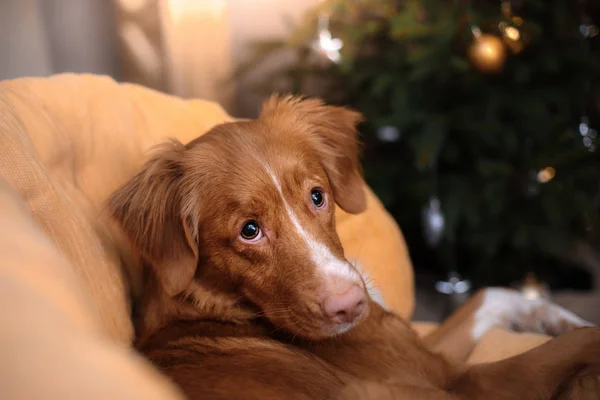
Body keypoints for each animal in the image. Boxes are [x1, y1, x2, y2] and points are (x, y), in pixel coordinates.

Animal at [109, 97, 600, 400]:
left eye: (317, 196)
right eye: (249, 230)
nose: (350, 306)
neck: (220, 308)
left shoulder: (424, 352)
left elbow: (489, 295)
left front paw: (555, 314)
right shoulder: (458, 381)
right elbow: (579, 340)